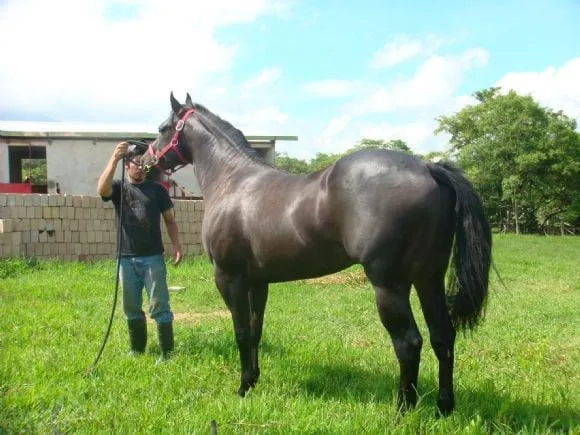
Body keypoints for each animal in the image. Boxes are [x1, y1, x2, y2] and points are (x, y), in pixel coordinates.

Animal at [143, 93, 492, 416]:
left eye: (161, 129)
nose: (143, 160)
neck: (234, 182)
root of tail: (427, 167)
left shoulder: (229, 279)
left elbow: (241, 333)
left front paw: (242, 388)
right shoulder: (258, 282)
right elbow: (255, 332)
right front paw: (253, 381)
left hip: (390, 285)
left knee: (408, 343)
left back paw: (402, 410)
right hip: (428, 280)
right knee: (442, 337)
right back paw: (444, 407)